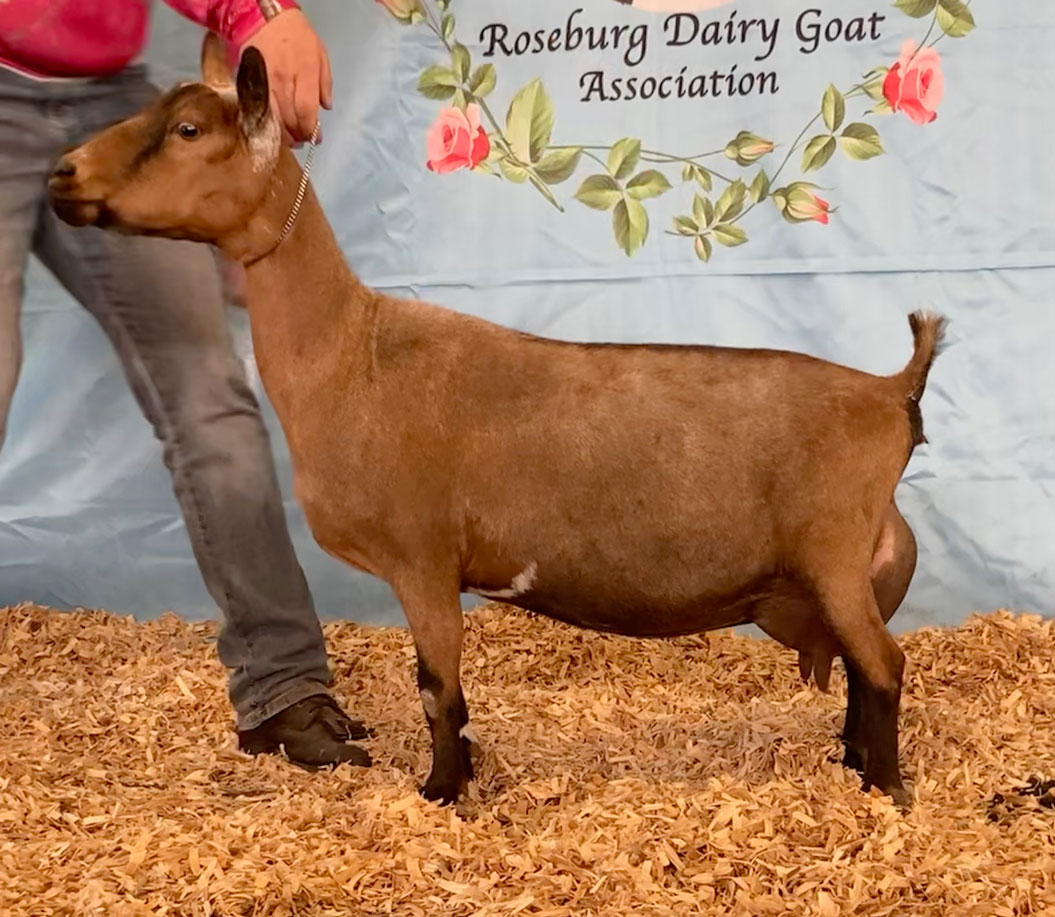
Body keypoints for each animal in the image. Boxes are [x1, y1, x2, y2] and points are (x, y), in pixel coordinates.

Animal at [47, 35, 949, 810]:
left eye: (189, 128)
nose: (60, 175)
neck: (355, 349)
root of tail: (889, 390)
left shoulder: (422, 559)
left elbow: (437, 689)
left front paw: (441, 790)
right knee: (862, 668)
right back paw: (850, 761)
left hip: (833, 552)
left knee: (884, 664)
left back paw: (887, 787)